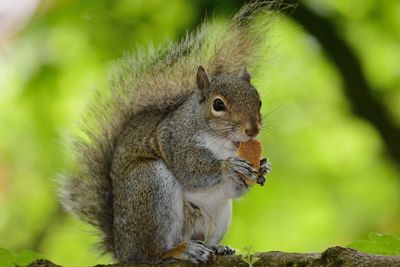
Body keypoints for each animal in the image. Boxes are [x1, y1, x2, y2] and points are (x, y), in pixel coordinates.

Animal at [58, 1, 278, 264]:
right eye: (218, 105)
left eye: (259, 101)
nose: (253, 129)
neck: (223, 144)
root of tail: (123, 250)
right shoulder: (175, 139)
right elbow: (190, 170)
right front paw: (229, 167)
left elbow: (235, 190)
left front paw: (263, 167)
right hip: (151, 185)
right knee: (151, 254)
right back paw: (180, 251)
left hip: (219, 214)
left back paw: (216, 248)